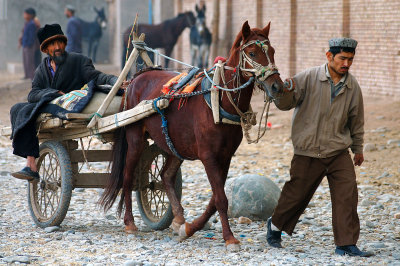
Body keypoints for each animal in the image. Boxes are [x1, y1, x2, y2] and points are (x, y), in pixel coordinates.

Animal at [100, 21, 286, 251]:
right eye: (252, 53)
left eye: (272, 51)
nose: (277, 86)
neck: (218, 102)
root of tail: (136, 78)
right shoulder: (208, 156)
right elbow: (221, 199)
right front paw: (229, 237)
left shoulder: (225, 157)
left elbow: (215, 199)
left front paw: (188, 228)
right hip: (135, 139)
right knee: (127, 176)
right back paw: (130, 223)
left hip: (174, 144)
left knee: (166, 176)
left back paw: (178, 219)